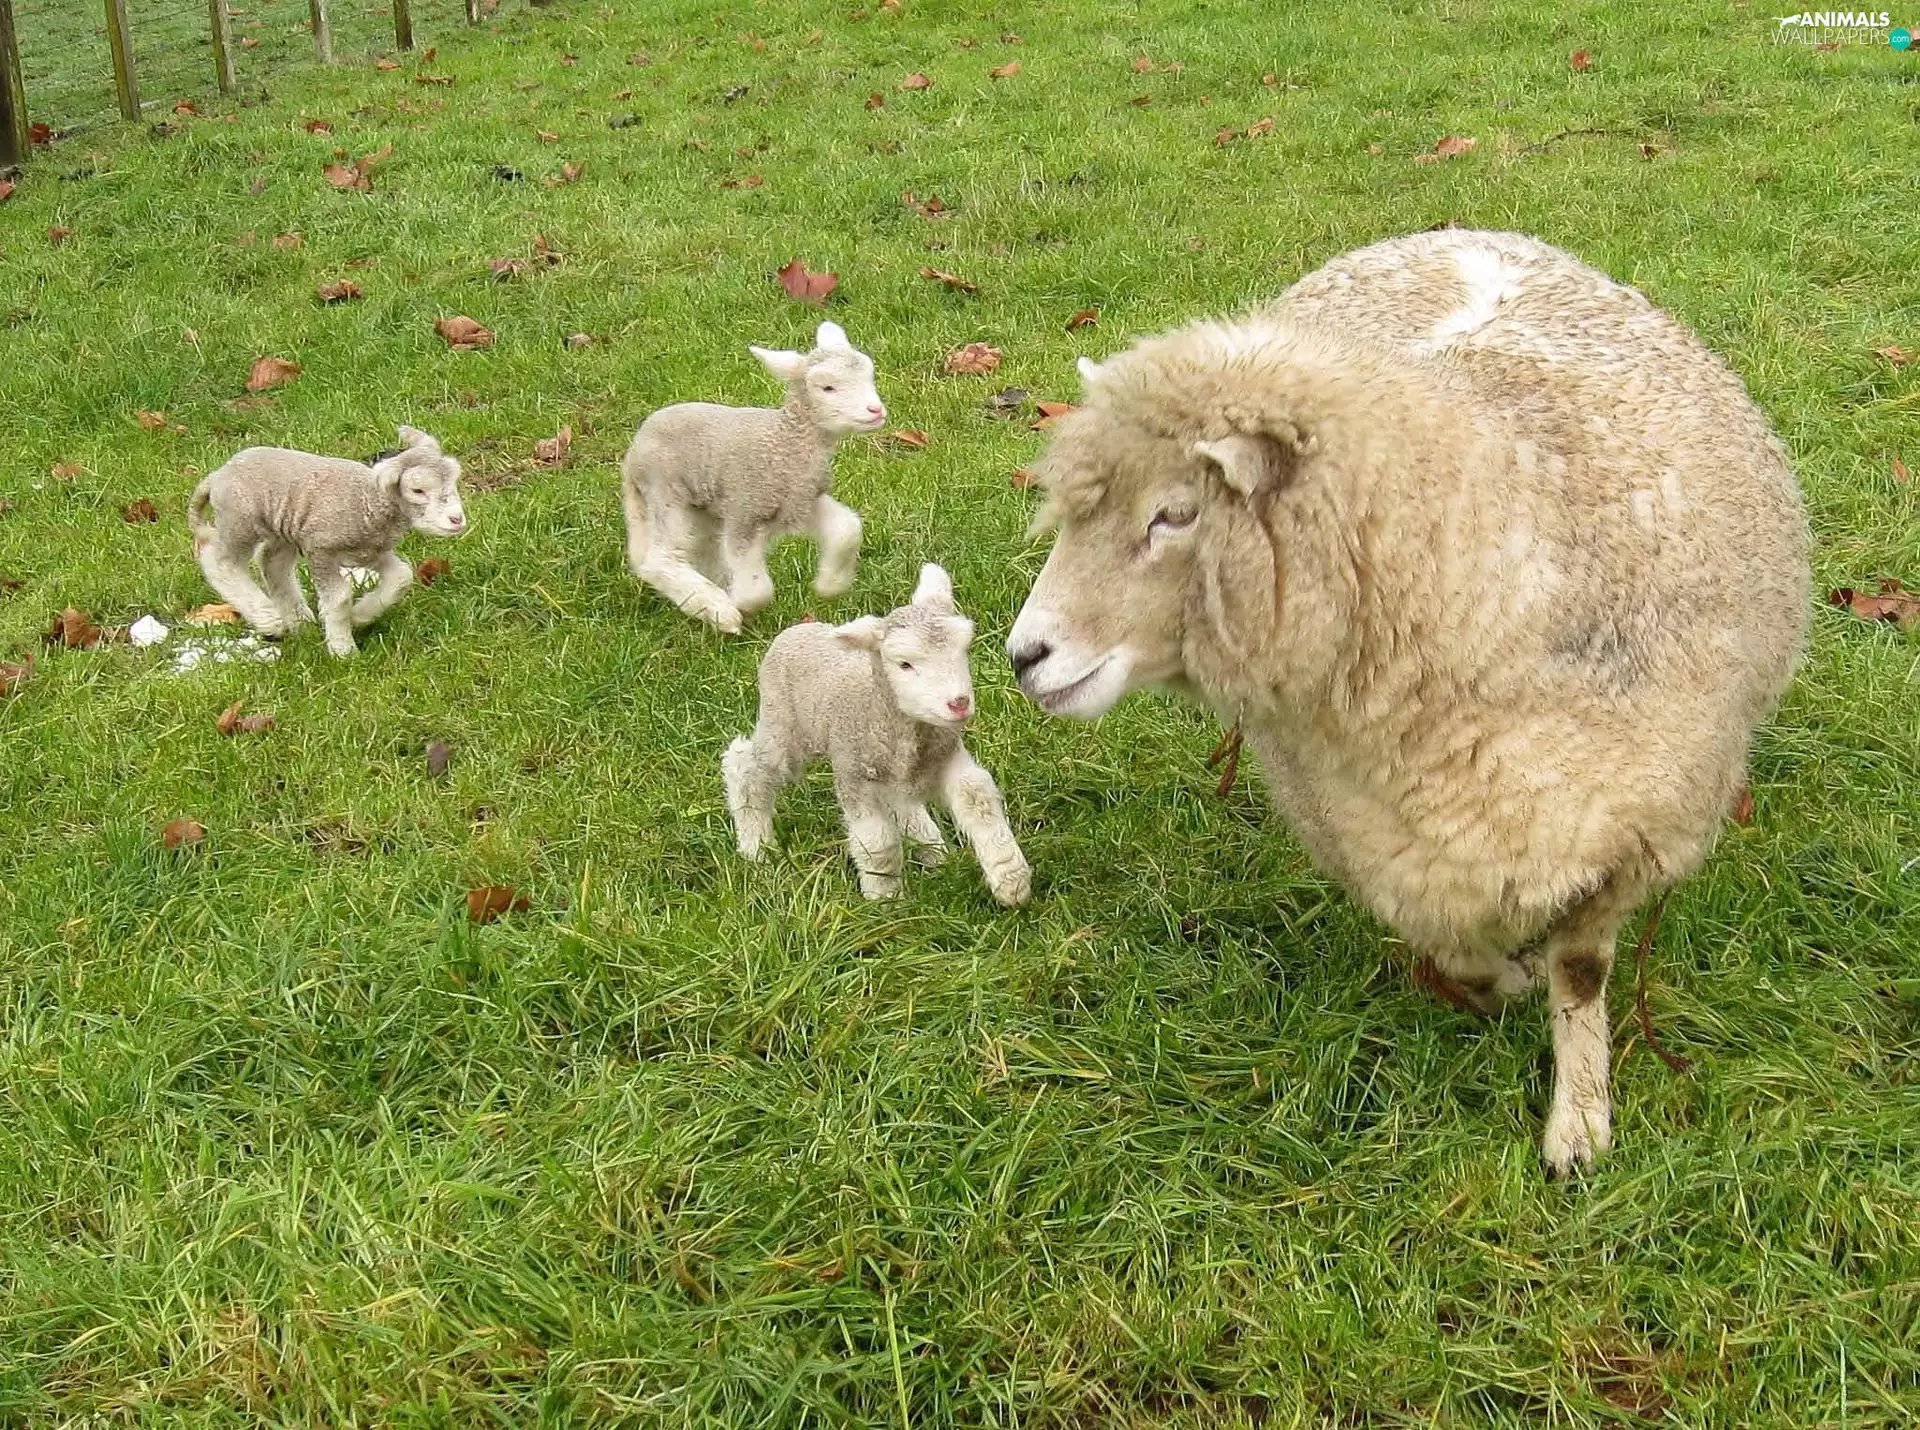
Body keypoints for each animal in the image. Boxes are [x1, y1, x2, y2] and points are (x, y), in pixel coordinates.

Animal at [187, 425, 468, 657]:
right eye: (418, 490)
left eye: (454, 480)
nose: (457, 519)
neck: (367, 501)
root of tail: (218, 474)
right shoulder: (320, 549)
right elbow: (339, 598)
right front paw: (343, 651)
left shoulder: (371, 551)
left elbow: (401, 577)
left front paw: (360, 616)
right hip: (240, 521)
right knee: (219, 560)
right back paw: (269, 618)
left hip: (283, 527)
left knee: (271, 562)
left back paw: (299, 620)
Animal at [621, 320, 886, 634]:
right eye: (827, 387)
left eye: (869, 374)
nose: (876, 410)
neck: (784, 444)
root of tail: (631, 456)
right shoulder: (745, 511)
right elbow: (758, 589)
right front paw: (741, 606)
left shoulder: (801, 501)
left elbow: (847, 529)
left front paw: (830, 585)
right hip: (665, 492)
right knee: (661, 559)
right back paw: (718, 610)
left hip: (703, 506)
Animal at [723, 563, 1032, 907]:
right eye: (904, 664)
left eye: (963, 651)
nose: (959, 703)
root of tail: (798, 630)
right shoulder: (854, 776)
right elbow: (878, 842)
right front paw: (884, 899)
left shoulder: (949, 756)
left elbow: (977, 801)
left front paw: (1010, 881)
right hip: (783, 726)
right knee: (746, 766)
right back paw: (756, 846)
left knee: (905, 804)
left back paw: (934, 850)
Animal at [1005, 229, 1810, 1175]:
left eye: (1176, 514)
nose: (1023, 656)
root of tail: (1462, 230)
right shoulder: (1379, 843)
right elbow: (1460, 953)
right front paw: (1508, 984)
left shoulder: (1629, 832)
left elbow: (1581, 974)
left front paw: (1578, 1124)